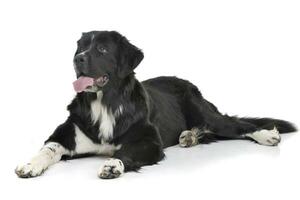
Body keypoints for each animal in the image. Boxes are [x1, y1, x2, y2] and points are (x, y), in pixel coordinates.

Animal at [15, 31, 298, 180]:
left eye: (102, 49)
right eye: (80, 47)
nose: (78, 59)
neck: (106, 103)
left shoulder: (150, 142)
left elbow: (126, 151)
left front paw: (112, 165)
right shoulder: (67, 132)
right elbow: (48, 148)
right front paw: (29, 164)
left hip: (203, 110)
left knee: (237, 125)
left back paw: (268, 135)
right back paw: (189, 137)